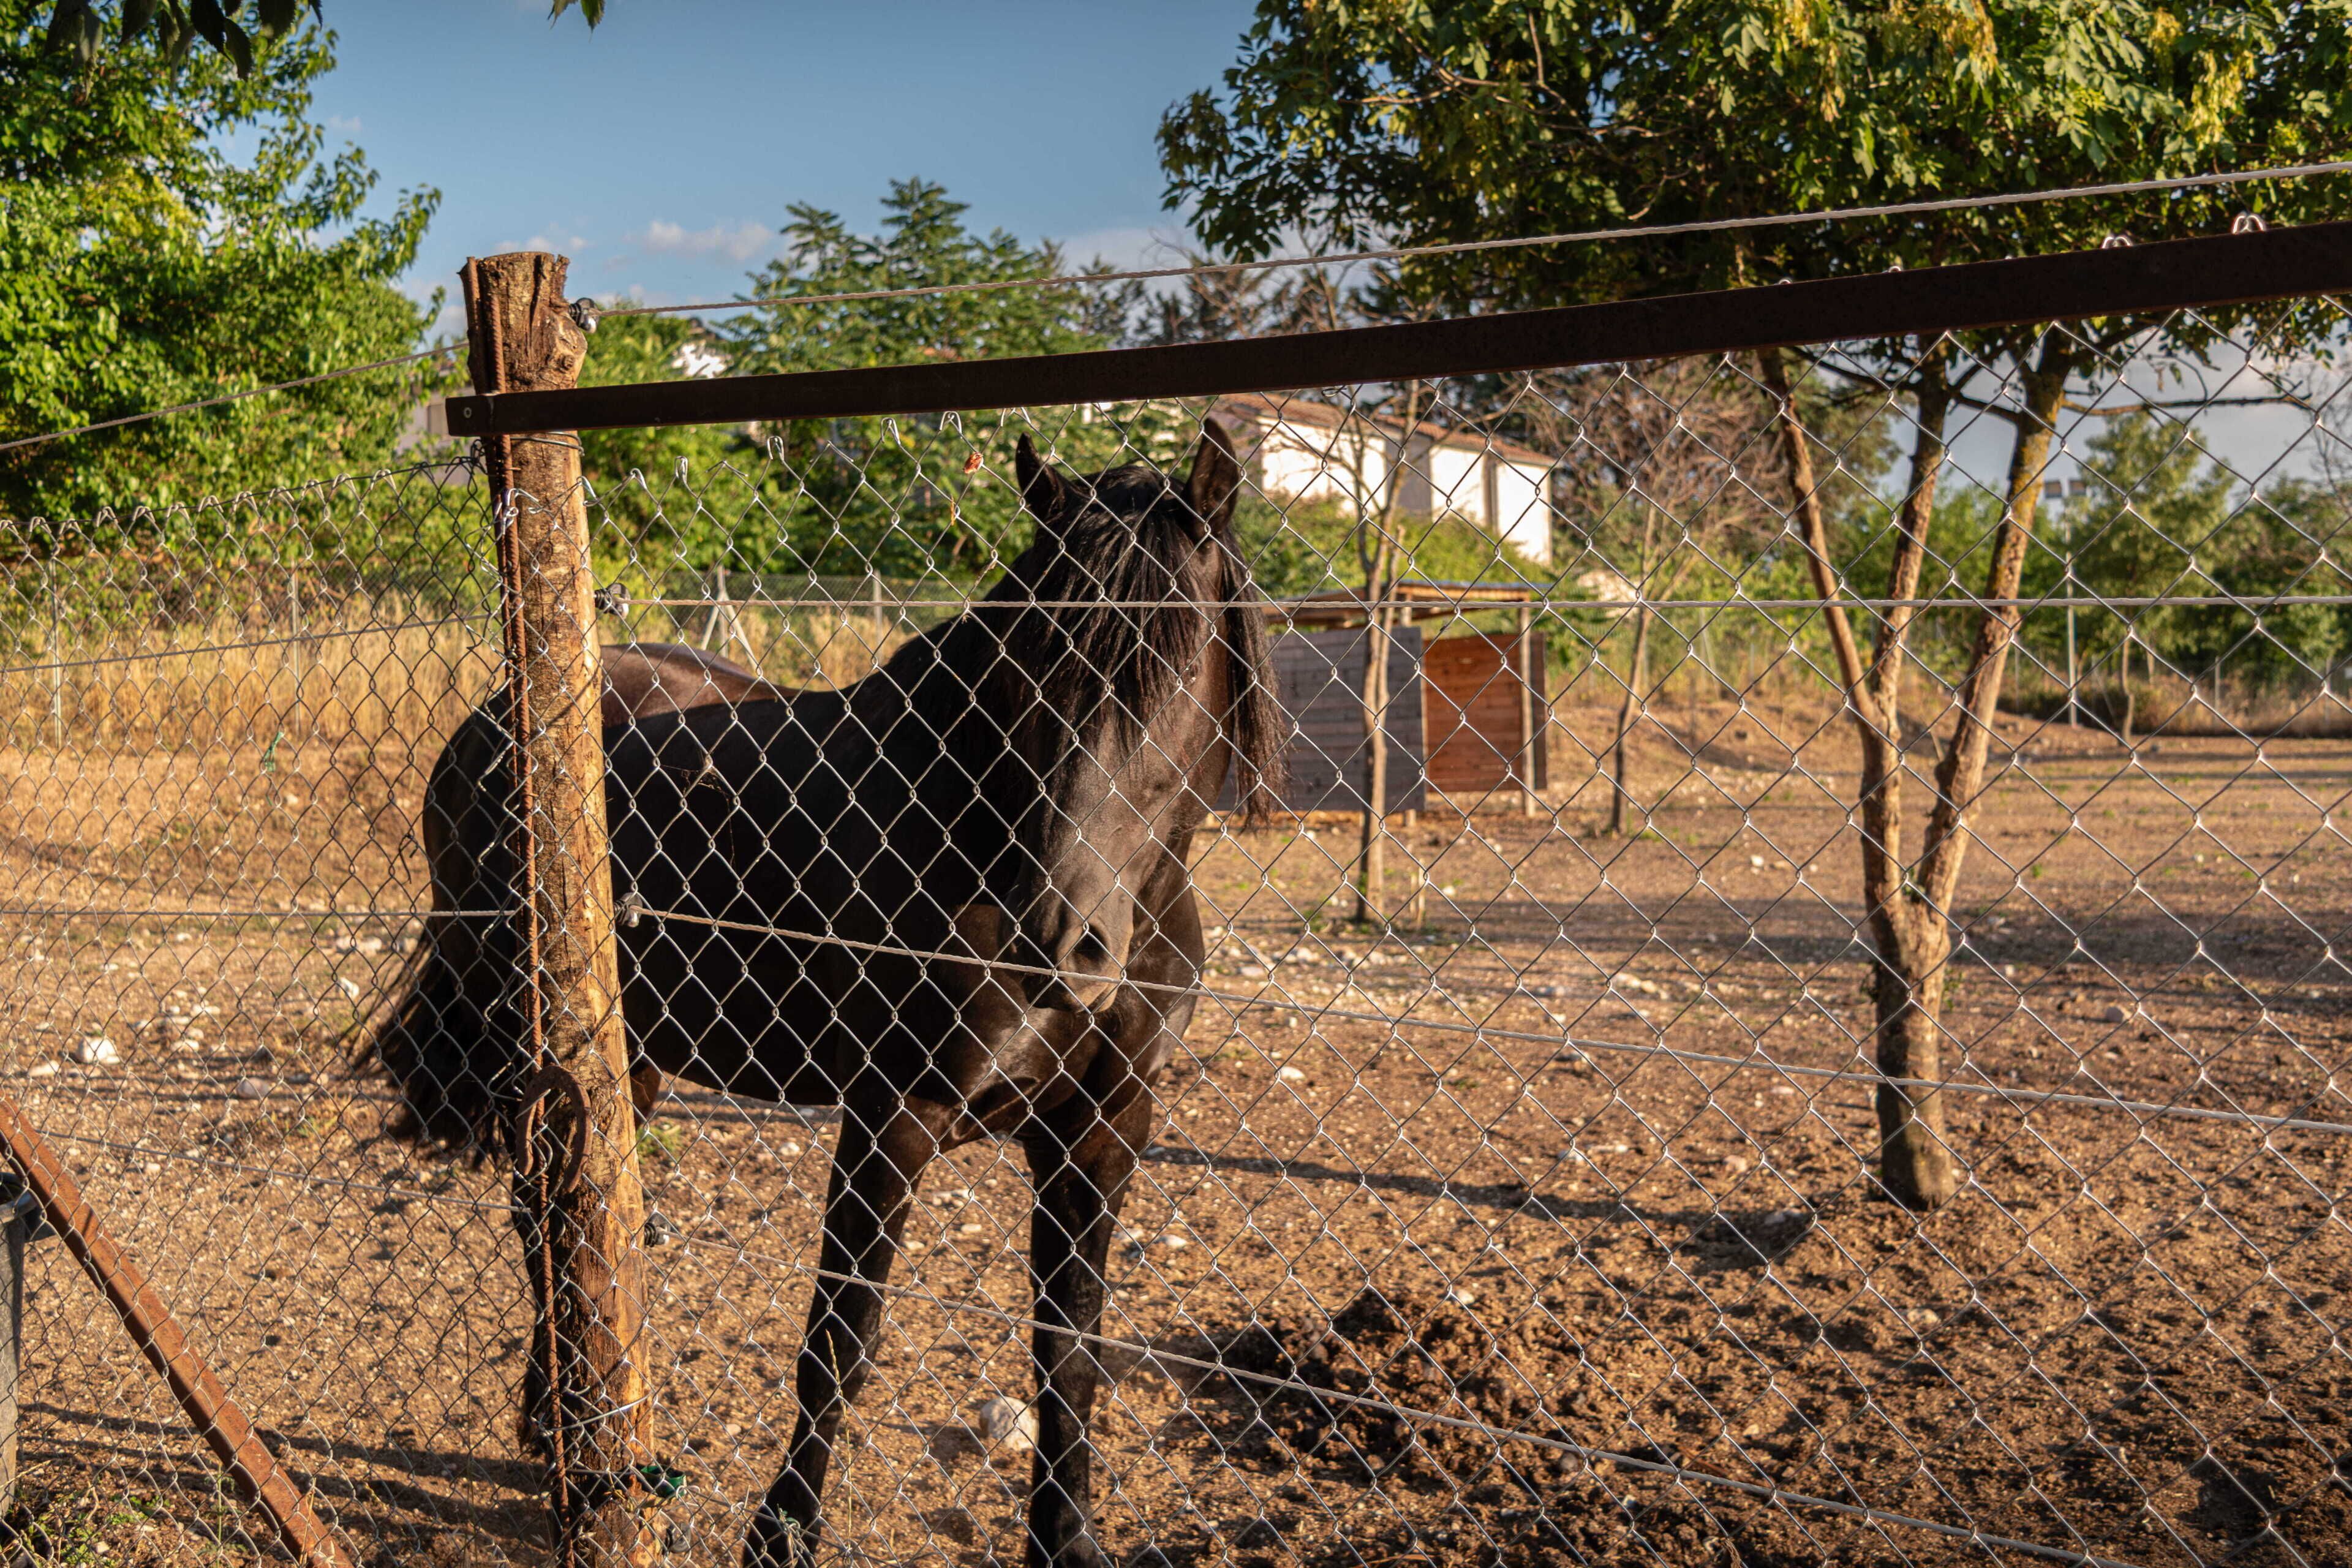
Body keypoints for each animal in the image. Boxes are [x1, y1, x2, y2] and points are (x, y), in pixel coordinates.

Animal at [367, 421, 1284, 1568]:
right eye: (1031, 673)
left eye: (1180, 664)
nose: (1056, 943)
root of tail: (501, 721)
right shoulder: (893, 1115)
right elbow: (842, 1341)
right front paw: (784, 1531)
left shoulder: (1104, 1132)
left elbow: (1069, 1352)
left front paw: (1065, 1539)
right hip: (529, 1032)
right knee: (544, 1211)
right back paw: (563, 1427)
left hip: (630, 1052)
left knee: (584, 1208)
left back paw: (570, 1422)